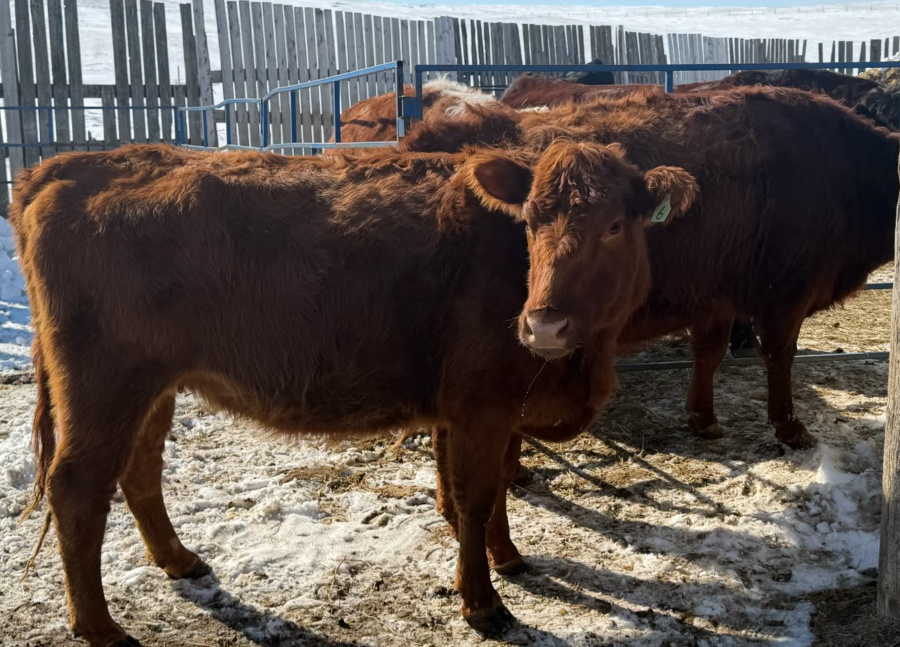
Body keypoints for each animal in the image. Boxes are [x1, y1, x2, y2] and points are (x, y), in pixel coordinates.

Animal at [12, 142, 696, 645]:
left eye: (615, 224)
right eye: (528, 222)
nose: (543, 325)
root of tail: (69, 165)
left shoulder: (489, 412)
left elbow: (491, 489)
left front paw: (506, 557)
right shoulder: (481, 408)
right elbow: (475, 500)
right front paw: (482, 601)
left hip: (153, 388)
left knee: (140, 470)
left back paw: (179, 560)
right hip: (103, 388)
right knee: (77, 488)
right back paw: (100, 628)